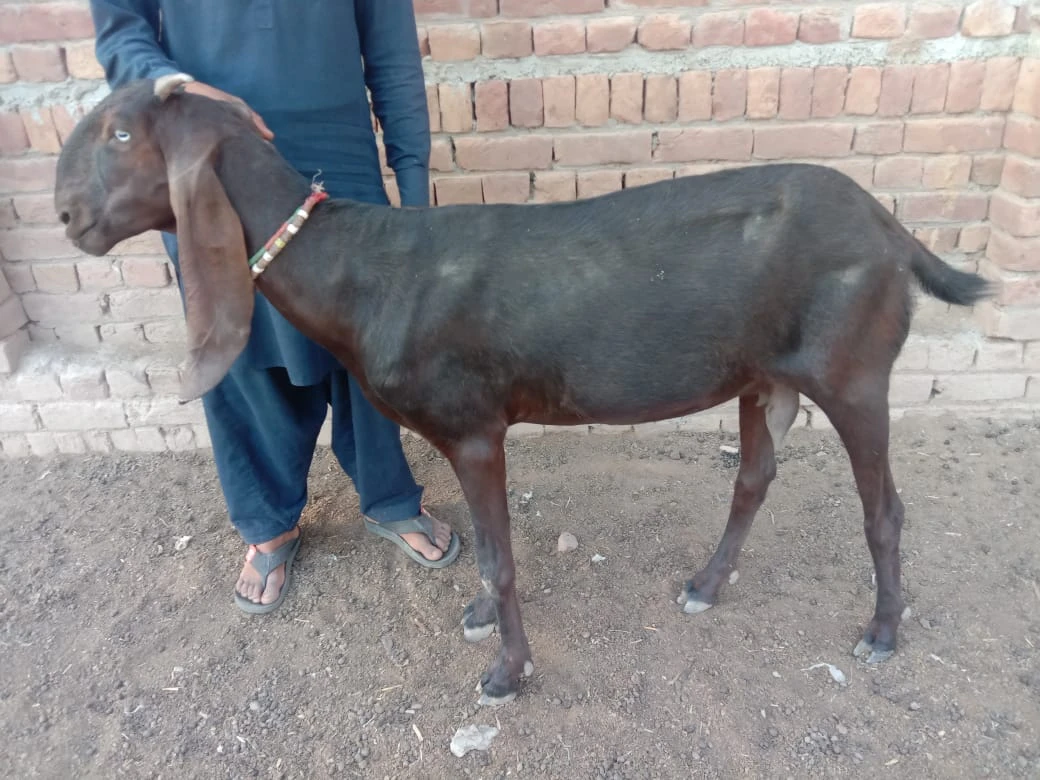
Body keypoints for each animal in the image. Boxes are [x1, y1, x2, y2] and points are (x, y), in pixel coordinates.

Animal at [54, 78, 990, 707]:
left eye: (123, 133)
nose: (66, 218)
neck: (362, 271)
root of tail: (895, 231)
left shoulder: (474, 430)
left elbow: (501, 556)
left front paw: (506, 670)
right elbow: (483, 545)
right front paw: (477, 614)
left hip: (853, 372)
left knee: (884, 508)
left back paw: (882, 632)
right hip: (764, 379)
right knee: (754, 478)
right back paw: (706, 583)